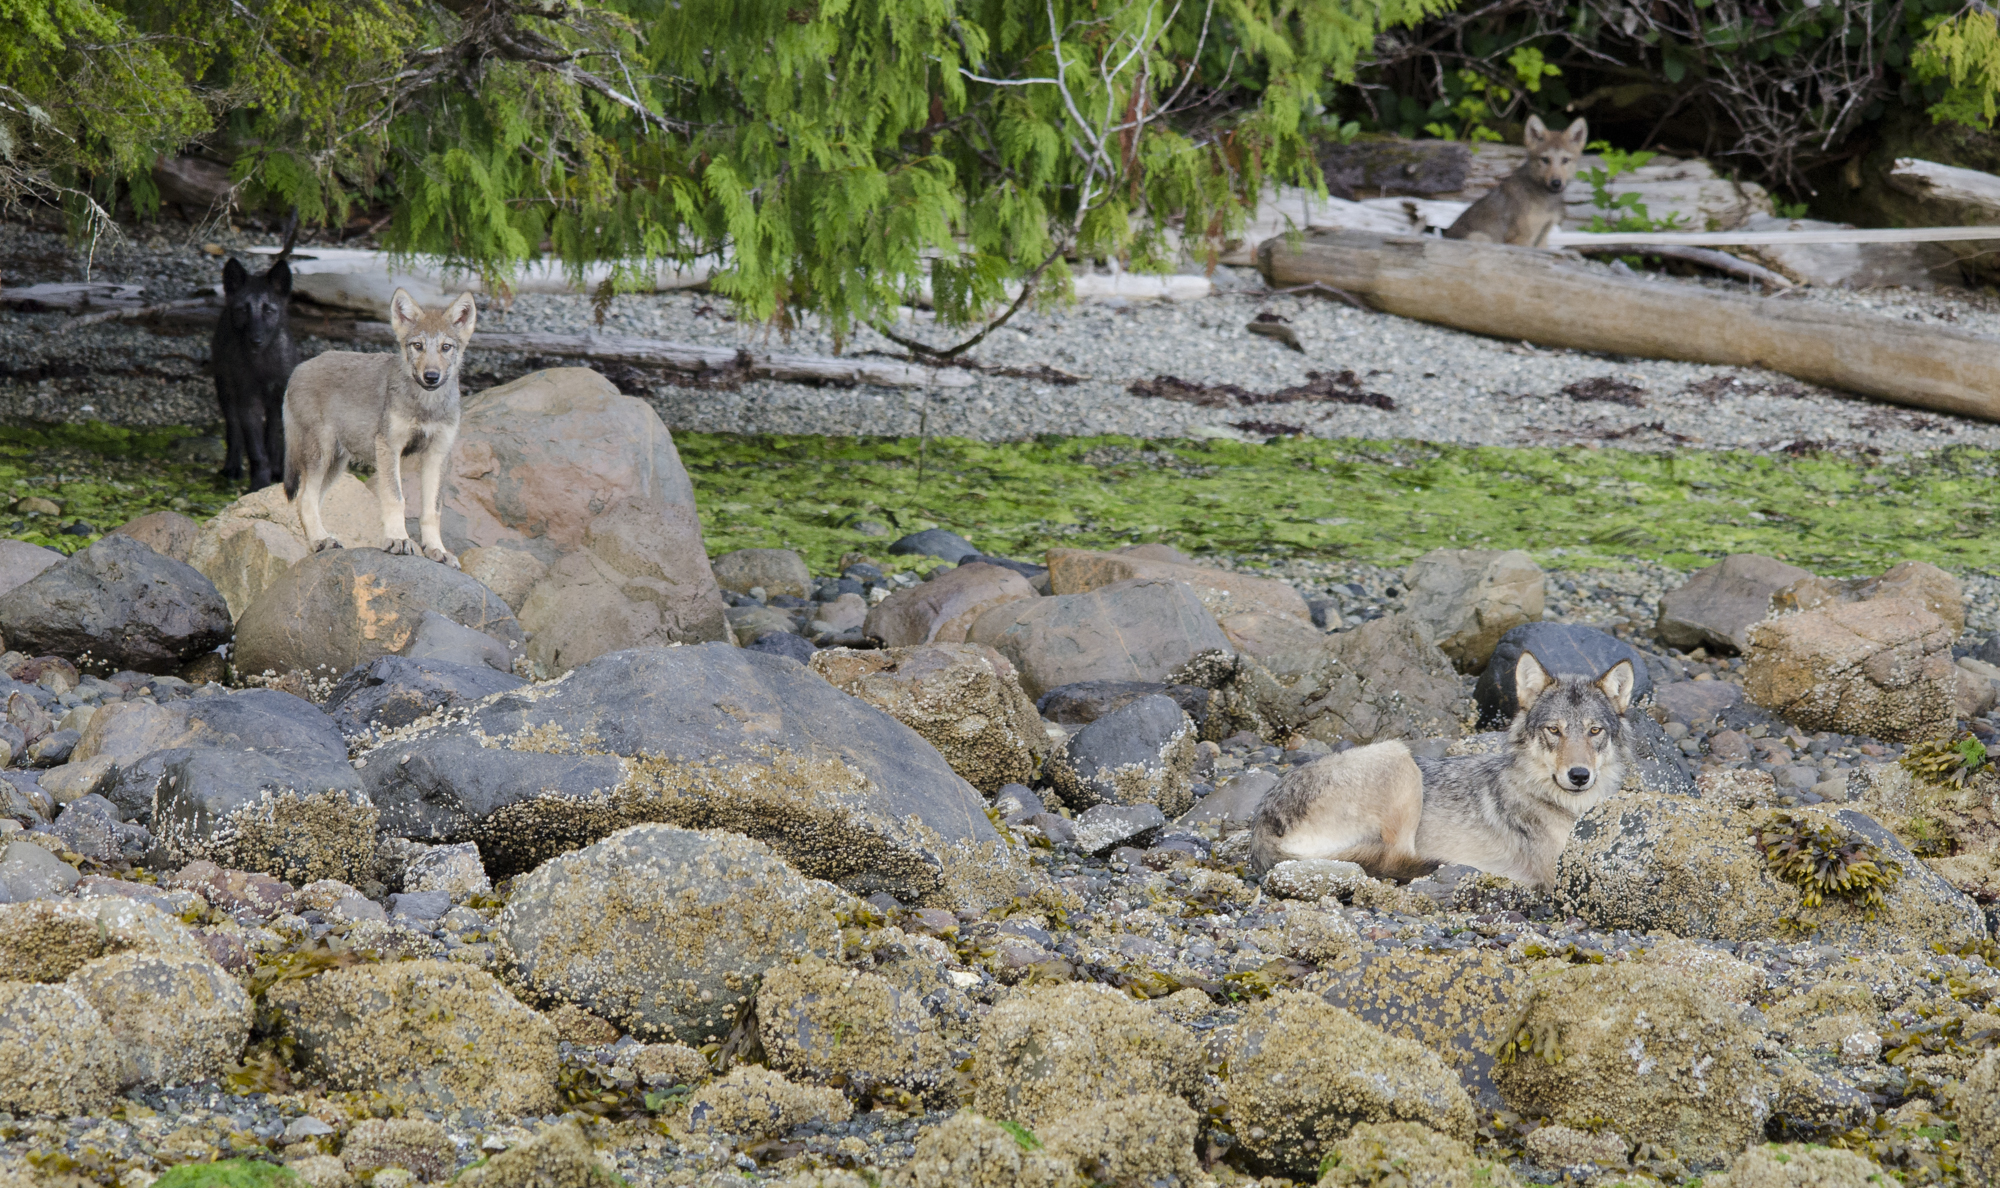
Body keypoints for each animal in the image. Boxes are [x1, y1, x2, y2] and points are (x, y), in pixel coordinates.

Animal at [284, 286, 474, 564]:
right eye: (418, 346)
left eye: (446, 347)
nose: (431, 376)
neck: (426, 405)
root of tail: (297, 369)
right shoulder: (389, 447)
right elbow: (396, 498)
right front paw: (398, 539)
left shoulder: (438, 454)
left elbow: (433, 510)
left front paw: (437, 549)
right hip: (321, 455)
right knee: (303, 500)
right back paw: (322, 540)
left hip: (335, 465)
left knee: (310, 501)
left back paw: (320, 543)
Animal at [1256, 648, 1632, 888]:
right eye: (1554, 730)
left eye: (1594, 731)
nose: (1579, 776)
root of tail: (1260, 826)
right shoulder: (1556, 871)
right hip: (1399, 759)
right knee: (1397, 860)